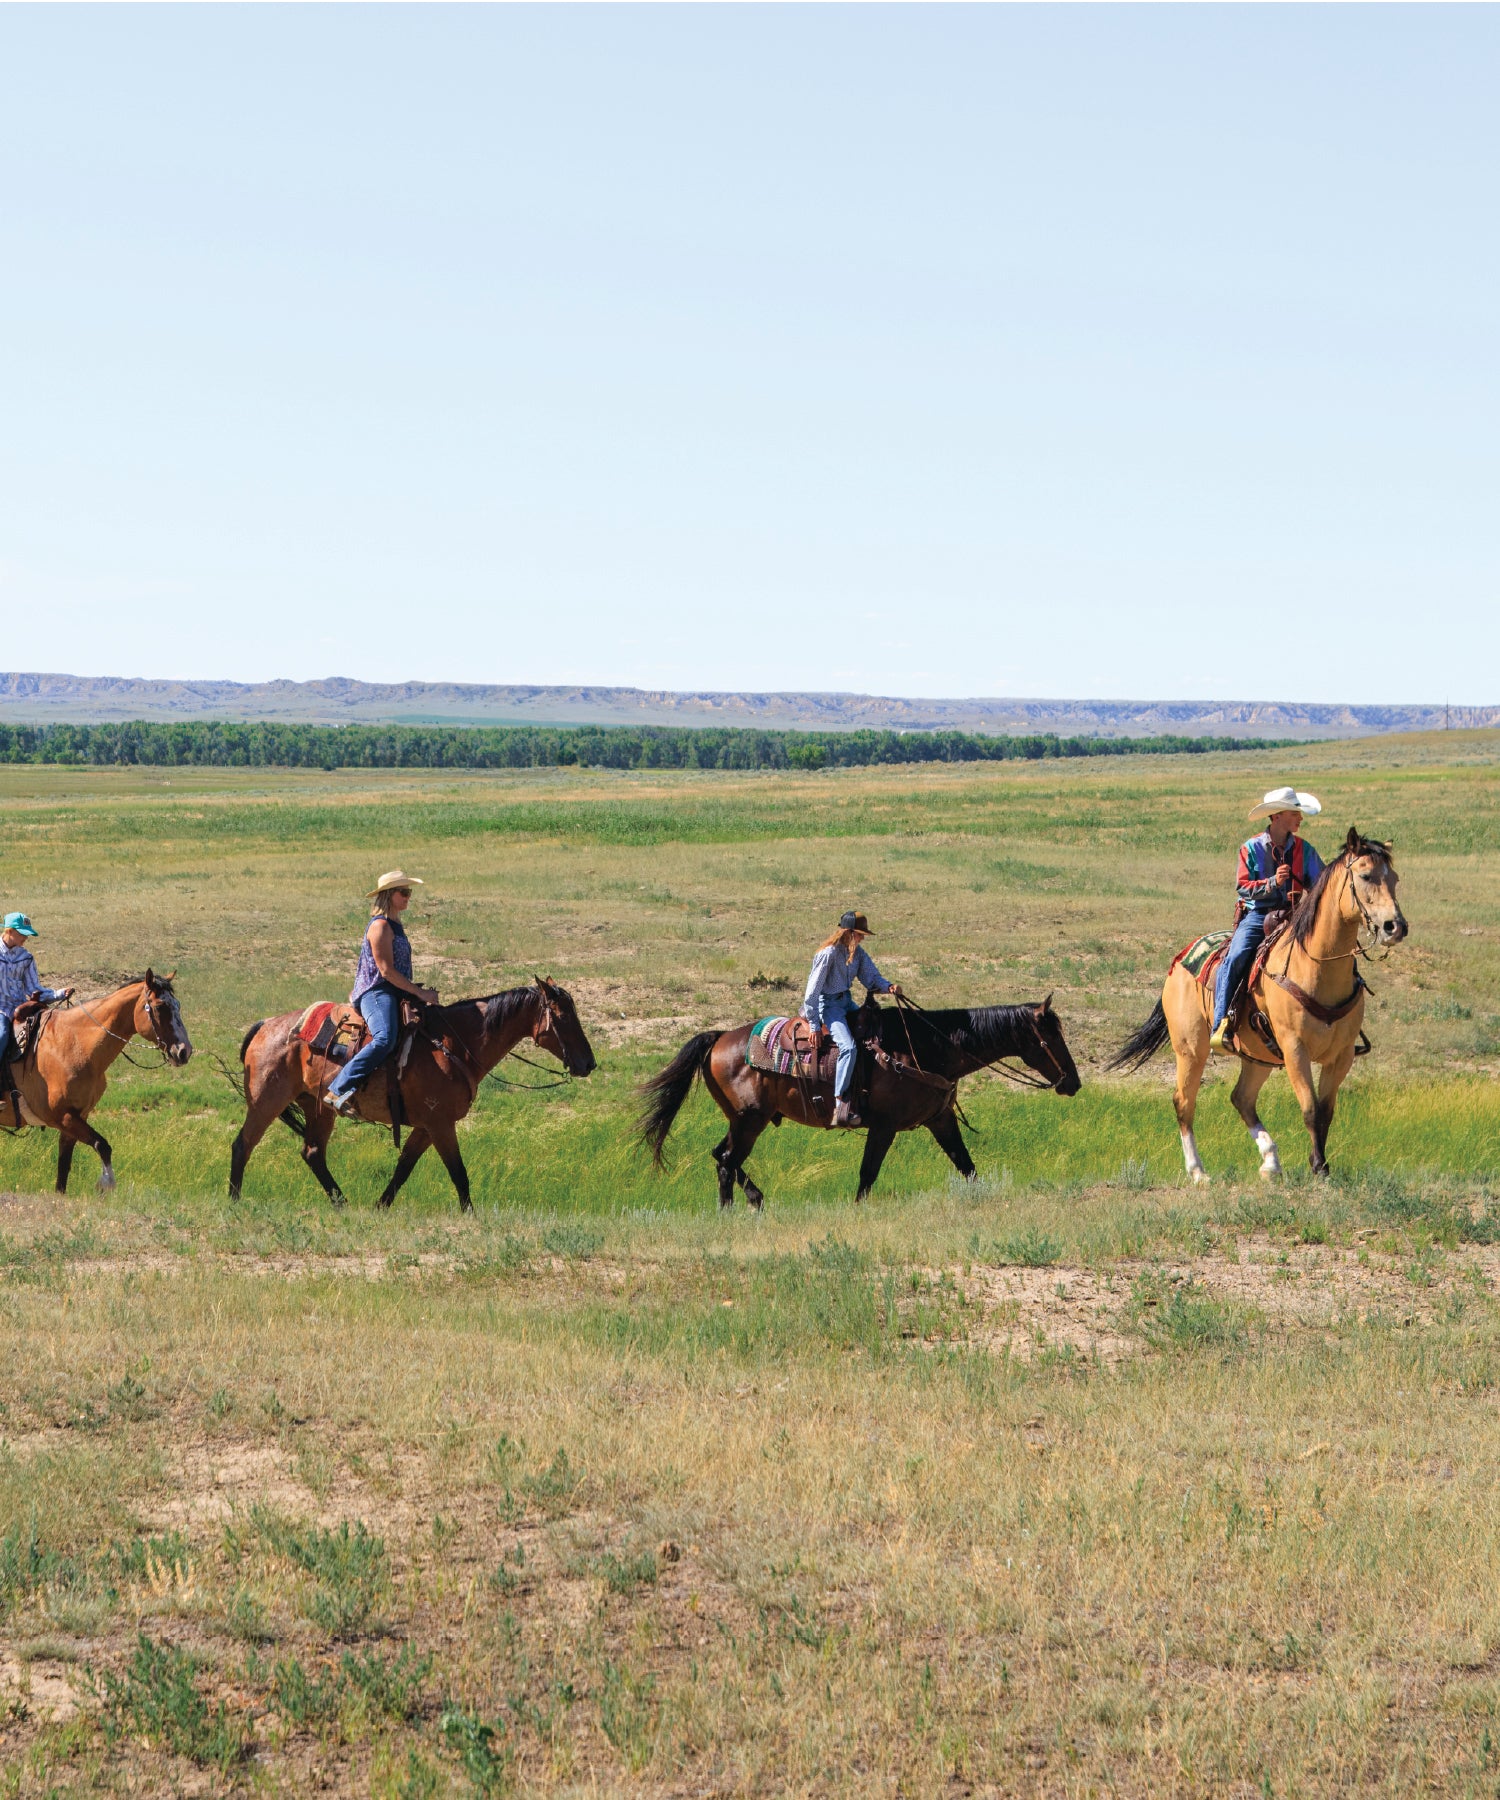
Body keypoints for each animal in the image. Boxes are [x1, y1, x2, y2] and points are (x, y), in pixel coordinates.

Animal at [5, 971, 193, 1193]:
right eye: (159, 1007)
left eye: (177, 1005)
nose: (184, 1051)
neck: (75, 1045)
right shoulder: (63, 1117)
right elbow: (102, 1145)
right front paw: (106, 1183)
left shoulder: (75, 1119)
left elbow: (63, 1171)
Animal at [229, 977, 596, 1212]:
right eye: (563, 1016)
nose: (588, 1063)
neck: (454, 1045)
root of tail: (266, 1025)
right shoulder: (441, 1124)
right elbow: (458, 1172)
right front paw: (471, 1216)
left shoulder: (426, 1126)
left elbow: (404, 1167)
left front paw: (380, 1206)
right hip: (267, 1101)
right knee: (243, 1145)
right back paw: (234, 1201)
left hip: (318, 1107)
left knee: (312, 1153)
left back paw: (342, 1203)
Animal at [639, 994, 1082, 1206]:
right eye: (1051, 1036)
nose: (1074, 1082)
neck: (925, 1047)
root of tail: (719, 1037)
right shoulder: (883, 1126)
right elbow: (868, 1174)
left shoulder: (941, 1120)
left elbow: (967, 1166)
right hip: (751, 1120)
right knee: (727, 1161)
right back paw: (731, 1210)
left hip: (742, 1120)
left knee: (721, 1156)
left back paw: (756, 1199)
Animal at [1109, 828, 1407, 1181]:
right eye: (1365, 875)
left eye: (1395, 879)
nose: (1395, 926)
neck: (1317, 967)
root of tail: (1180, 960)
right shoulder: (1295, 1048)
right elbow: (1310, 1108)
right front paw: (1318, 1167)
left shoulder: (1342, 1055)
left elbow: (1326, 1111)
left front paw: (1321, 1165)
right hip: (1191, 1048)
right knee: (1184, 1101)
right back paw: (1198, 1171)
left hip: (1258, 1057)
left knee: (1242, 1098)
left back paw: (1271, 1161)